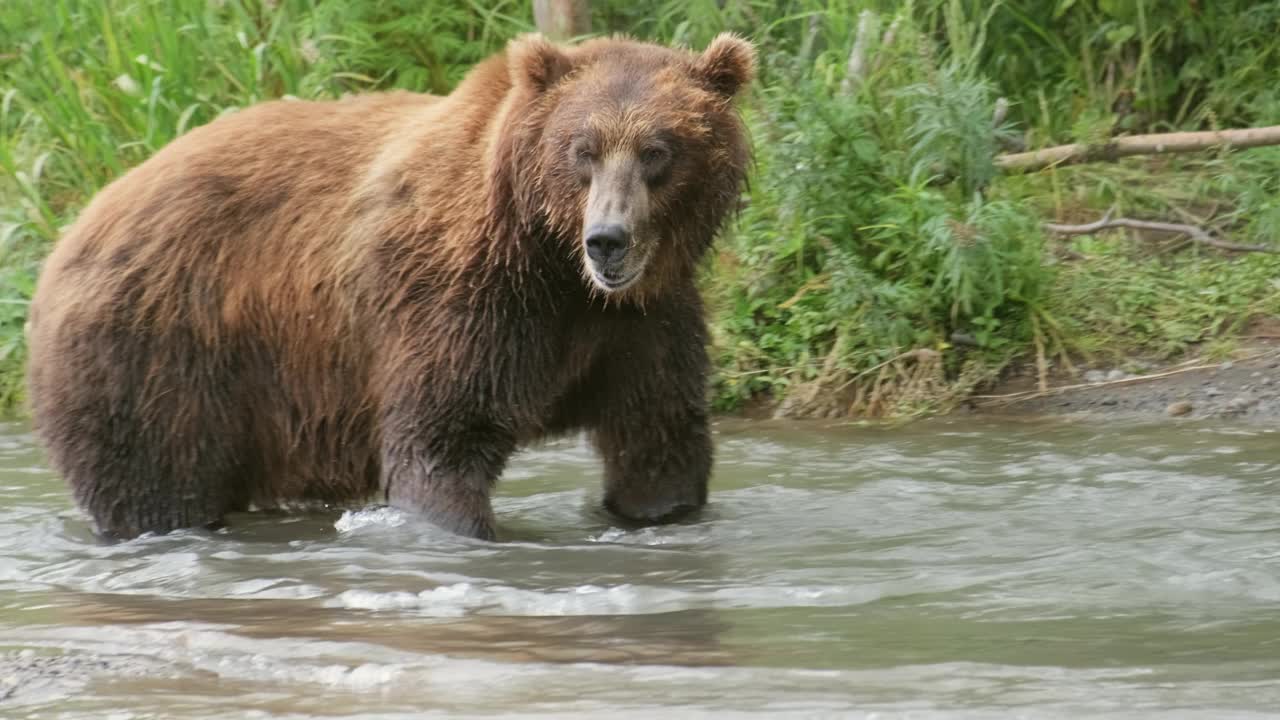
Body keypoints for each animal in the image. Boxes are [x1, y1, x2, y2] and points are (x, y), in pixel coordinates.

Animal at [24, 32, 752, 538]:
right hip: (160, 353)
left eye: (658, 151)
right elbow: (440, 443)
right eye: (583, 149)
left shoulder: (641, 321)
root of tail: (74, 228)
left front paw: (661, 508)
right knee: (154, 483)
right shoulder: (460, 299)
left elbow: (659, 437)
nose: (608, 237)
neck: (552, 262)